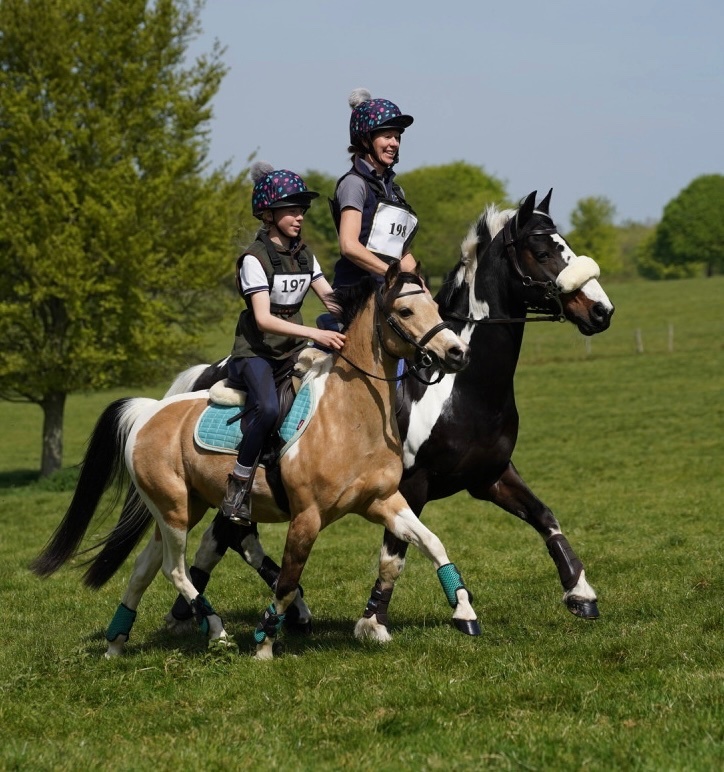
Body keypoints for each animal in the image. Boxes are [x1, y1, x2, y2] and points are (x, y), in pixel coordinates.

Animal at [32, 264, 475, 659]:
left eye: (435, 306)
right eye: (406, 311)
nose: (457, 353)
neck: (349, 415)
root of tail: (147, 411)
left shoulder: (383, 501)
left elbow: (427, 545)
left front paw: (463, 612)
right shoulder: (307, 518)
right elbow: (288, 582)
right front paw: (264, 644)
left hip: (187, 507)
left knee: (144, 566)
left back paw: (116, 644)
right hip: (174, 510)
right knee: (174, 569)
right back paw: (215, 630)